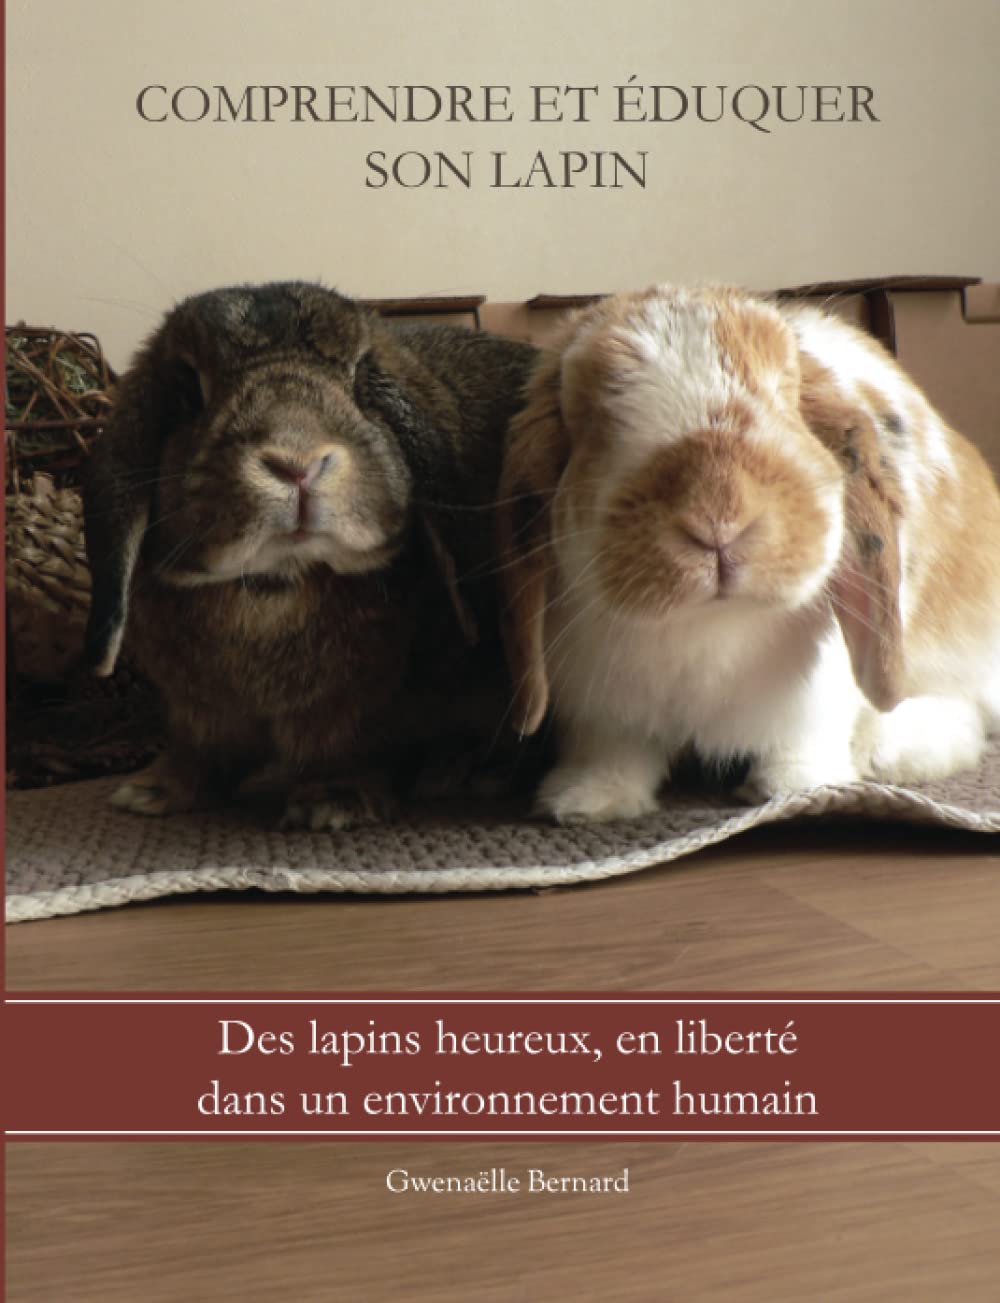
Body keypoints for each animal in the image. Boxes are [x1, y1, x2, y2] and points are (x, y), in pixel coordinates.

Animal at [83, 281, 538, 829]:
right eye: (189, 388)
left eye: (360, 379)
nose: (297, 465)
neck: (275, 580)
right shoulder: (198, 712)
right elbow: (200, 753)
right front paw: (152, 792)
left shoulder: (356, 709)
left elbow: (342, 747)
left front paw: (331, 804)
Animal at [495, 284, 1000, 823]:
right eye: (593, 415)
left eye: (783, 393)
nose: (718, 517)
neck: (708, 624)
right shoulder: (602, 712)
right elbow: (611, 754)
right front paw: (585, 802)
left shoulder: (816, 700)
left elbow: (801, 745)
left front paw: (794, 789)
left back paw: (885, 751)